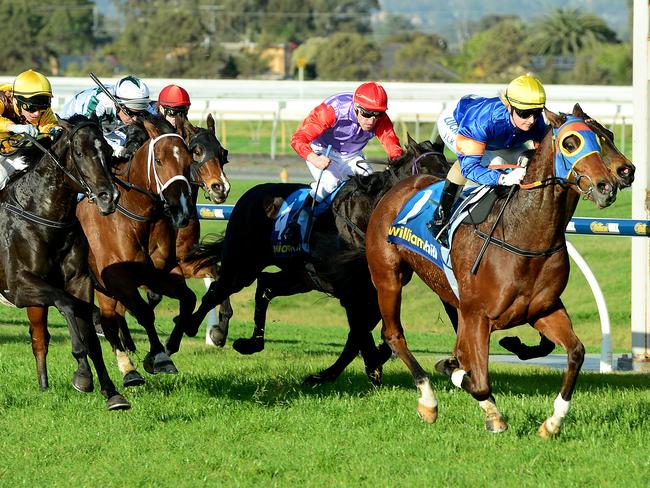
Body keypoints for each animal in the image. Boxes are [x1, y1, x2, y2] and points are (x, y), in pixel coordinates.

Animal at [0, 116, 130, 410]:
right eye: (79, 153)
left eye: (107, 151)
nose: (109, 197)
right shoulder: (19, 287)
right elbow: (67, 305)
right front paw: (82, 374)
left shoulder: (78, 281)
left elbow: (90, 329)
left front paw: (112, 392)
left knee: (39, 337)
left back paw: (43, 385)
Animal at [74, 116, 194, 384]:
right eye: (158, 160)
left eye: (189, 162)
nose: (181, 209)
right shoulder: (118, 280)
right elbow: (143, 312)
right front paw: (159, 357)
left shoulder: (161, 273)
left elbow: (188, 299)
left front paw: (169, 346)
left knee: (109, 320)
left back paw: (128, 365)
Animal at [168, 135, 450, 384]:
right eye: (425, 170)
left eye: (448, 168)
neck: (364, 219)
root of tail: (250, 194)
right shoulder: (350, 292)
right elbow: (359, 334)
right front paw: (369, 365)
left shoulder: (372, 290)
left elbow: (359, 334)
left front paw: (361, 366)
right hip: (243, 264)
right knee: (218, 289)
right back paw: (198, 331)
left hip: (299, 276)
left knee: (265, 285)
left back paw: (251, 342)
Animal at [362, 108, 616, 436]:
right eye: (570, 143)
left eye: (604, 137)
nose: (607, 186)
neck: (525, 235)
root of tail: (399, 186)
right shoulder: (477, 316)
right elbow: (478, 380)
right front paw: (471, 390)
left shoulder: (544, 309)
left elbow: (576, 352)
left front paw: (552, 422)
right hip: (389, 276)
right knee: (394, 334)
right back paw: (428, 401)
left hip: (447, 292)